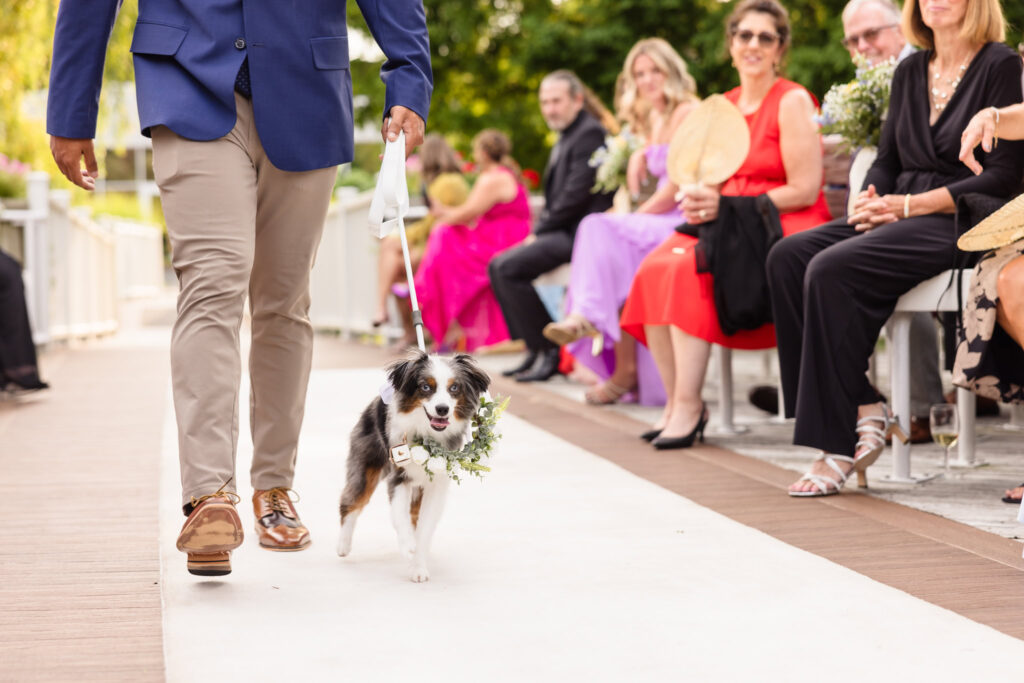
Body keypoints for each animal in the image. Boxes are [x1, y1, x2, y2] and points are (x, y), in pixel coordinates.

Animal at [337, 352, 489, 581]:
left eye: (454, 388)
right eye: (425, 387)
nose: (442, 409)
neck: (428, 435)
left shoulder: (437, 484)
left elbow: (425, 528)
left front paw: (418, 566)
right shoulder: (399, 475)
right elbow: (399, 515)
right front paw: (408, 545)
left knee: (414, 515)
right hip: (366, 464)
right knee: (351, 501)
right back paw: (343, 546)